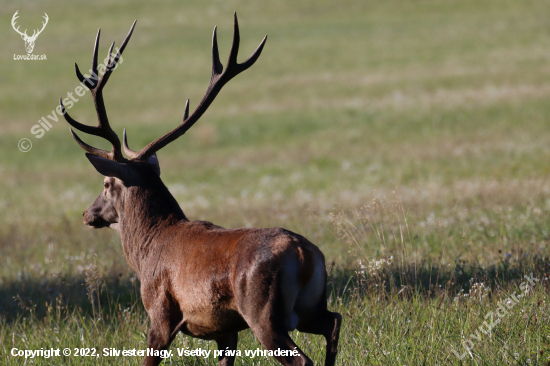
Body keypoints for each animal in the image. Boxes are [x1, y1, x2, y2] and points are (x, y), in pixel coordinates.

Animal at [62, 12, 342, 364]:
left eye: (105, 183)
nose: (87, 214)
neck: (146, 251)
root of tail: (306, 255)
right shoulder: (225, 330)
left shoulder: (160, 313)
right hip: (310, 307)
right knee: (334, 321)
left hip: (264, 311)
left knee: (303, 356)